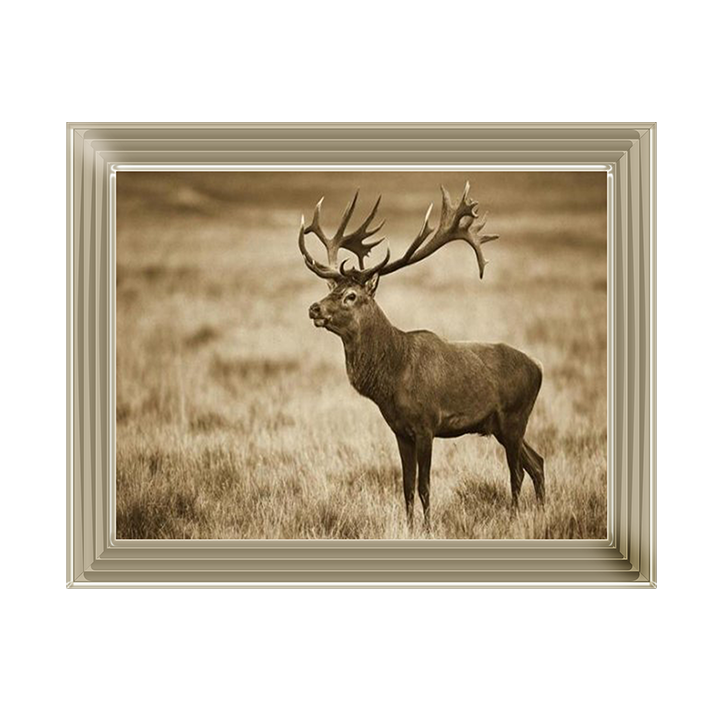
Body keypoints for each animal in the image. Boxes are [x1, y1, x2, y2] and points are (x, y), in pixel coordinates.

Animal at [298, 182, 545, 531]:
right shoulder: (400, 431)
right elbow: (406, 486)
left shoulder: (427, 424)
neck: (392, 378)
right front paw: (409, 526)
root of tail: (539, 369)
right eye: (330, 289)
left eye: (351, 296)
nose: (314, 308)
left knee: (517, 472)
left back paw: (514, 517)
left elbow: (425, 485)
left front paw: (427, 528)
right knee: (537, 462)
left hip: (514, 417)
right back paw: (542, 511)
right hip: (501, 425)